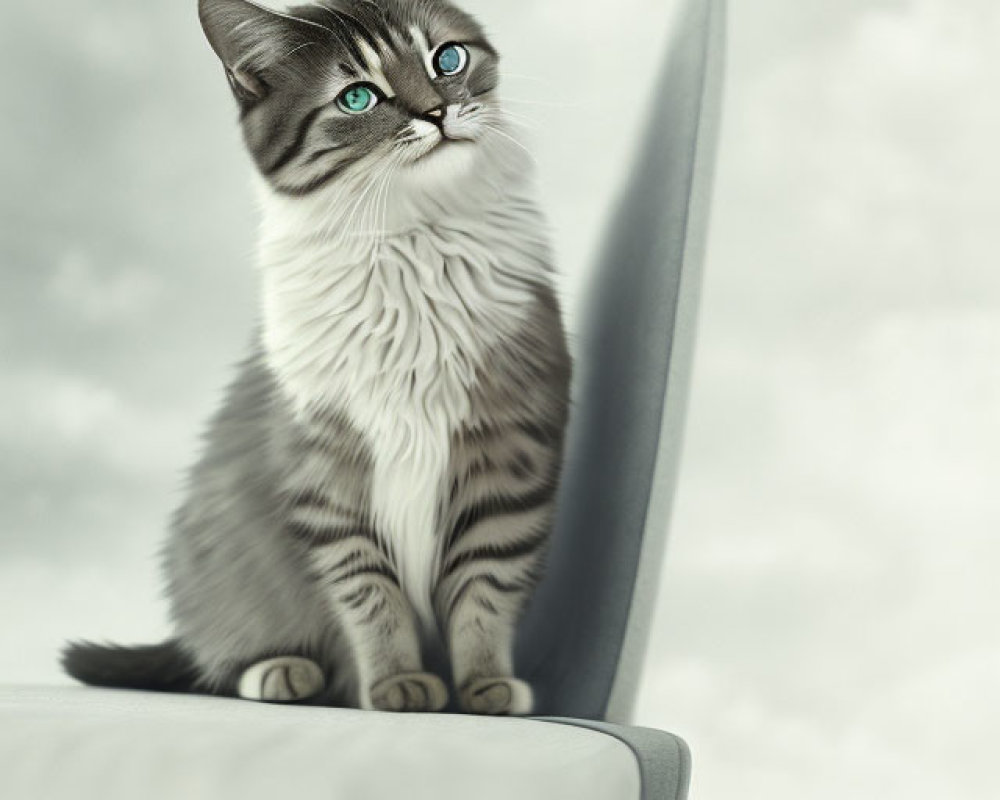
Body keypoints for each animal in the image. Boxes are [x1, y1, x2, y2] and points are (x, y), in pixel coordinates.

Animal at [64, 0, 572, 720]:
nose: (438, 111)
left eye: (447, 59)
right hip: (219, 568)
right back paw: (281, 672)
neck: (410, 240)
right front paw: (395, 685)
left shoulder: (507, 449)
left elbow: (485, 586)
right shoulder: (324, 465)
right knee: (223, 658)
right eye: (357, 97)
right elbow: (371, 594)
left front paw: (483, 689)